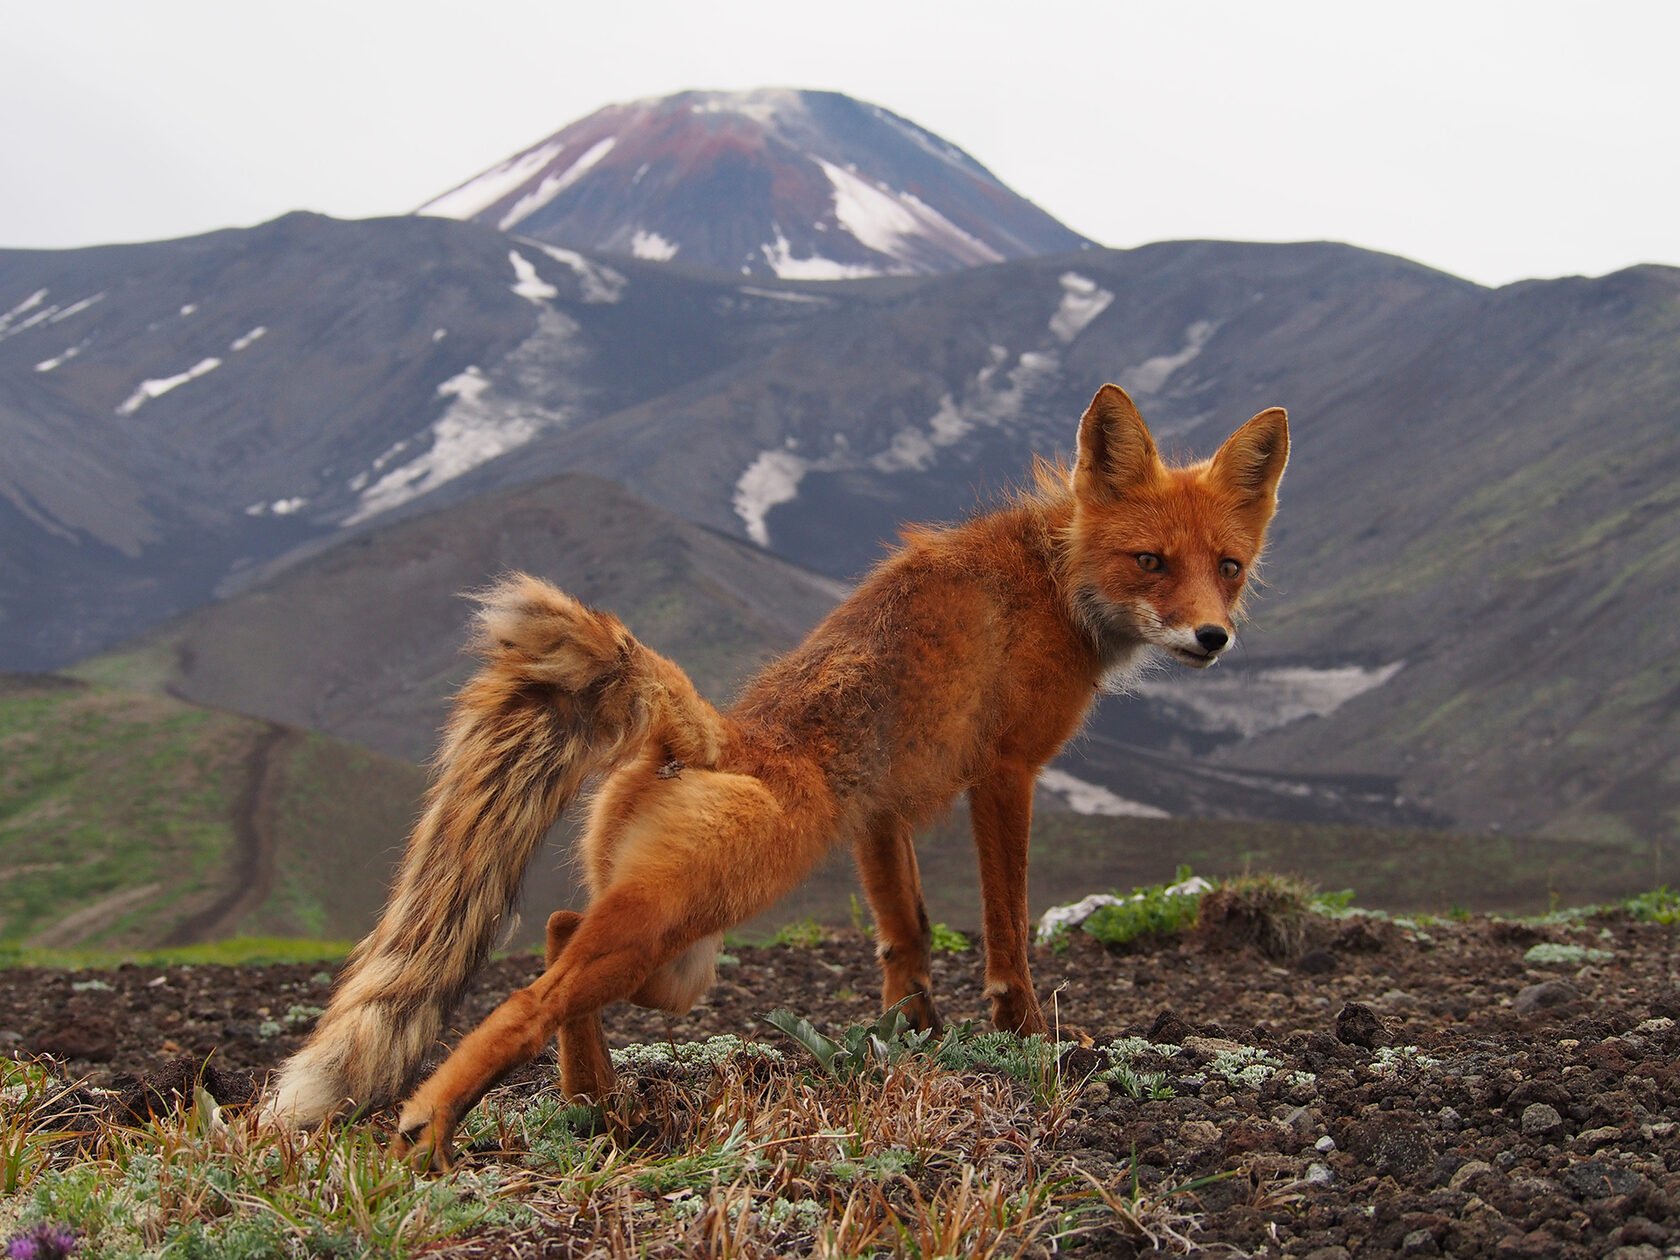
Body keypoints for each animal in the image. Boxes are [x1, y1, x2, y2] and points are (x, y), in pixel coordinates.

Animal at [258, 379, 1283, 1169]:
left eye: (1228, 567)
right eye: (1150, 561)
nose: (1212, 638)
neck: (1054, 575)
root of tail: (708, 735)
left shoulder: (878, 811)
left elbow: (905, 937)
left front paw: (917, 1039)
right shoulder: (1005, 773)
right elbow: (1006, 932)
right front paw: (1026, 1038)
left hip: (678, 962)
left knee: (557, 932)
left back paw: (596, 1101)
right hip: (689, 926)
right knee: (527, 995)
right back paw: (433, 1125)